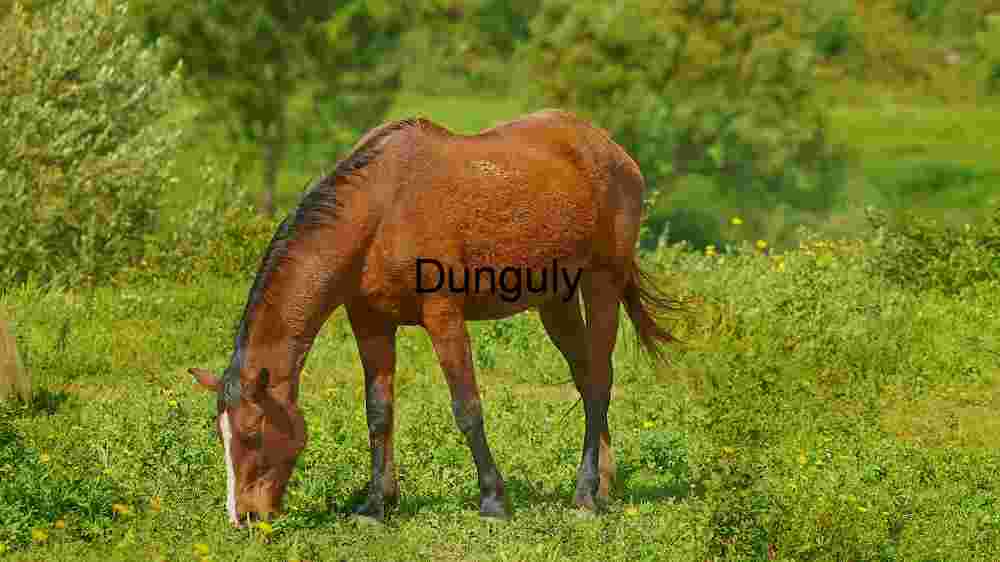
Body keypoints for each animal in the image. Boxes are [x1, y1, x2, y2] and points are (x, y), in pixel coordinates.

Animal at [188, 109, 680, 527]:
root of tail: (614, 151)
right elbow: (379, 412)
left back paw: (584, 495)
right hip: (555, 302)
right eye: (220, 436)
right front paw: (376, 504)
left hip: (602, 285)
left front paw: (493, 501)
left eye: (252, 434)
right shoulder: (370, 323)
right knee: (585, 377)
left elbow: (467, 408)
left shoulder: (444, 317)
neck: (380, 212)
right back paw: (603, 486)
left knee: (598, 382)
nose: (244, 516)